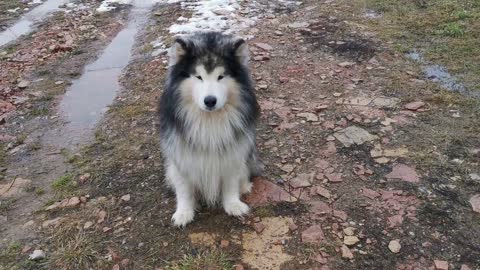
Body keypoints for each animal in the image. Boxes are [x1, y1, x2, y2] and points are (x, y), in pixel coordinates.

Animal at [158, 31, 262, 227]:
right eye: (198, 77)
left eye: (221, 77)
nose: (210, 101)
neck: (209, 120)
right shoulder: (181, 155)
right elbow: (184, 188)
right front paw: (184, 212)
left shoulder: (233, 153)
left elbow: (230, 182)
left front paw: (233, 204)